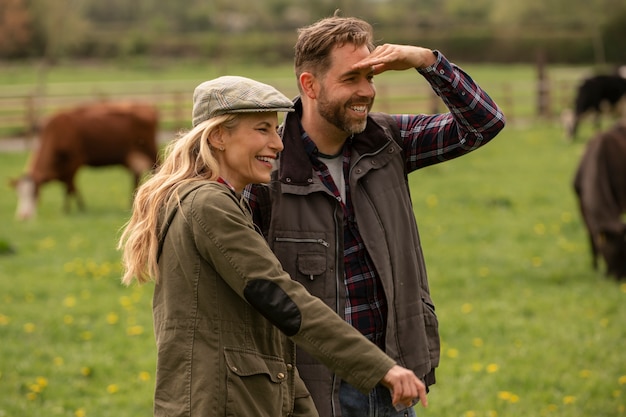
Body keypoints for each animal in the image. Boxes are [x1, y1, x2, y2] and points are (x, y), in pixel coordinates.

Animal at [13, 101, 158, 219]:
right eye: (19, 194)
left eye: (35, 193)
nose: (23, 216)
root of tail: (147, 107)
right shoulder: (64, 170)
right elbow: (73, 187)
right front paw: (80, 208)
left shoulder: (75, 162)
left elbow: (69, 188)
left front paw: (68, 210)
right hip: (132, 155)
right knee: (135, 176)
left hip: (149, 150)